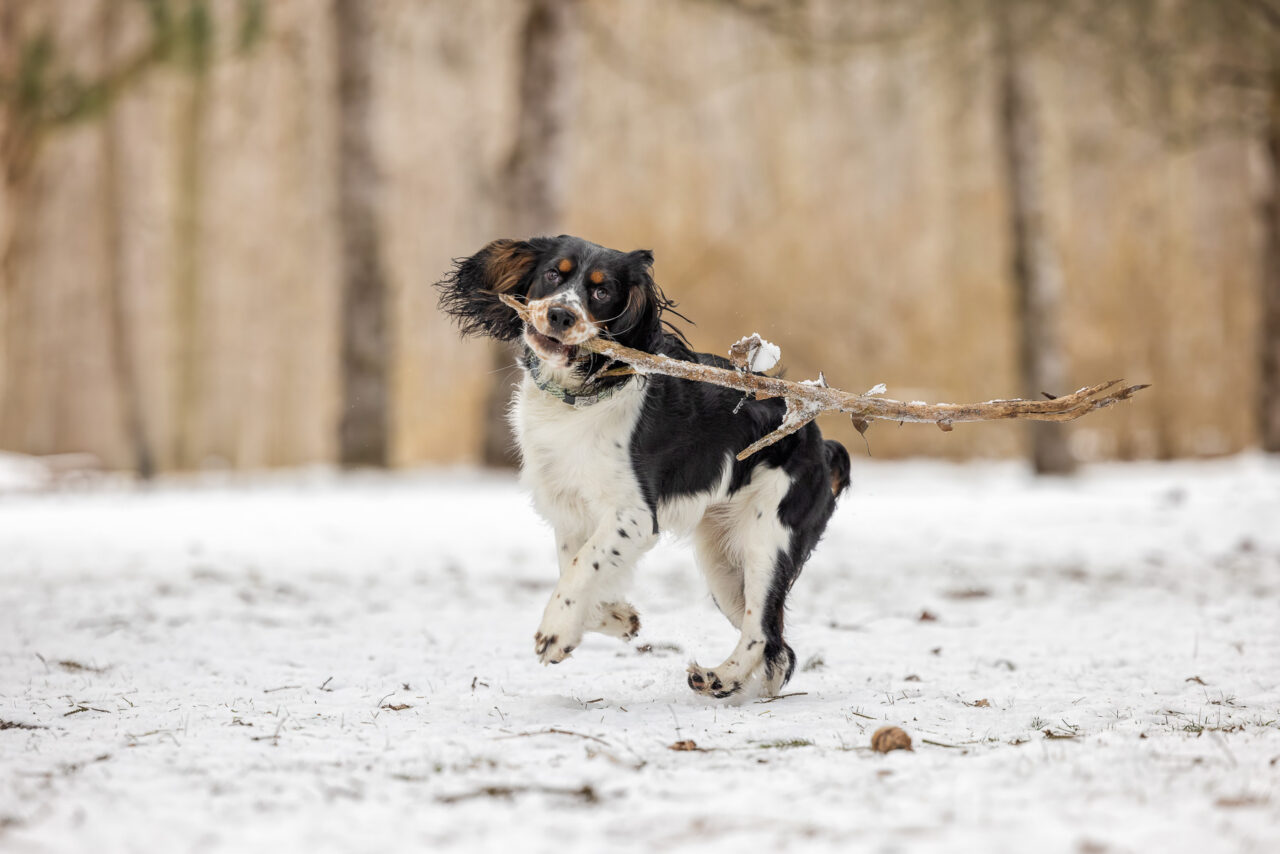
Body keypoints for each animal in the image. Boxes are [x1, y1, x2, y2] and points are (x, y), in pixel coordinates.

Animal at [440, 235, 849, 701]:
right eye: (552, 275)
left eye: (601, 292)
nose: (561, 315)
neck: (581, 397)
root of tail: (820, 442)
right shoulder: (570, 509)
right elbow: (575, 564)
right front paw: (617, 617)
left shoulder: (632, 515)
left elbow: (582, 566)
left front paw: (556, 632)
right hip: (724, 565)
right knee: (778, 646)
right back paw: (734, 684)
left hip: (766, 542)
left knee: (762, 633)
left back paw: (717, 677)